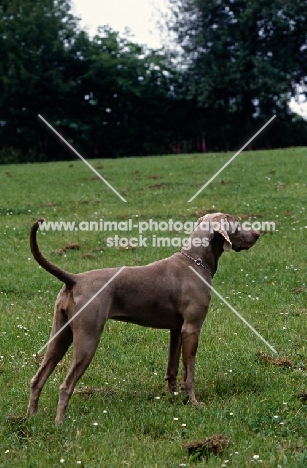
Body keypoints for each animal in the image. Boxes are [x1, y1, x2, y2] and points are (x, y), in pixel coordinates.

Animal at [26, 214, 260, 422]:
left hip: (60, 334)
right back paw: (59, 423)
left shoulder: (177, 330)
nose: (258, 233)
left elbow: (172, 368)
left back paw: (30, 418)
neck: (195, 262)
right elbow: (190, 371)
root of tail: (75, 279)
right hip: (88, 337)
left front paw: (173, 399)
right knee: (66, 385)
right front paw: (194, 402)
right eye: (237, 224)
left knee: (37, 378)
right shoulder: (191, 328)